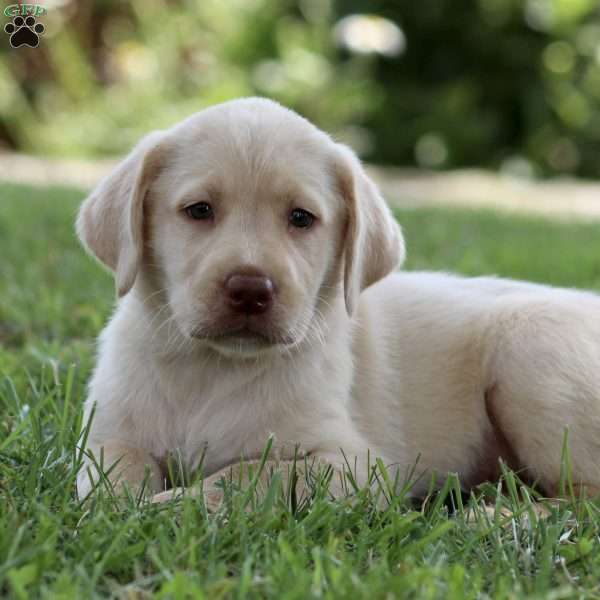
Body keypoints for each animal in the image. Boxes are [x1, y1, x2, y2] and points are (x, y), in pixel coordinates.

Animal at [77, 97, 600, 502]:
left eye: (301, 218)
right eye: (199, 210)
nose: (250, 289)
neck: (212, 370)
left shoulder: (353, 464)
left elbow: (247, 477)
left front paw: (167, 507)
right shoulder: (107, 433)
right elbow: (112, 472)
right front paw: (121, 506)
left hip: (530, 350)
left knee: (582, 502)